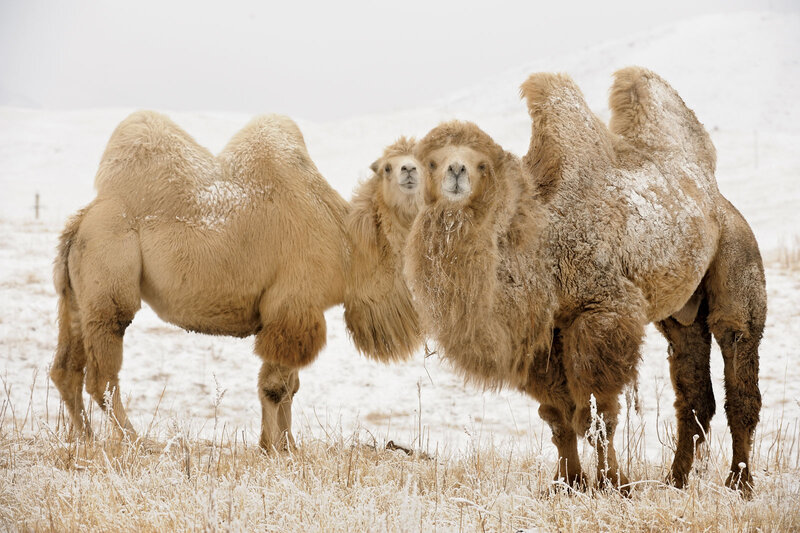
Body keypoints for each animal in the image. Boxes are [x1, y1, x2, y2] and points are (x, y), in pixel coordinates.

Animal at [50, 111, 422, 451]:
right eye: (387, 167)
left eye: (423, 161)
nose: (410, 171)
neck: (347, 247)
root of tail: (81, 220)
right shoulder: (292, 307)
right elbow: (275, 387)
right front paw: (273, 448)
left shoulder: (297, 312)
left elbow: (291, 386)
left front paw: (288, 446)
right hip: (108, 274)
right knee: (102, 375)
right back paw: (138, 442)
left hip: (77, 296)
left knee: (66, 370)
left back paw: (85, 440)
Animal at [404, 67, 765, 493]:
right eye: (430, 162)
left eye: (481, 165)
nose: (455, 172)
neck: (539, 243)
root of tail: (717, 198)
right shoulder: (545, 334)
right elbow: (558, 416)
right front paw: (568, 483)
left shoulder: (601, 312)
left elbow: (597, 416)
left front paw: (615, 485)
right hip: (681, 313)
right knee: (693, 391)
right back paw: (674, 481)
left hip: (737, 254)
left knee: (737, 354)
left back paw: (739, 484)